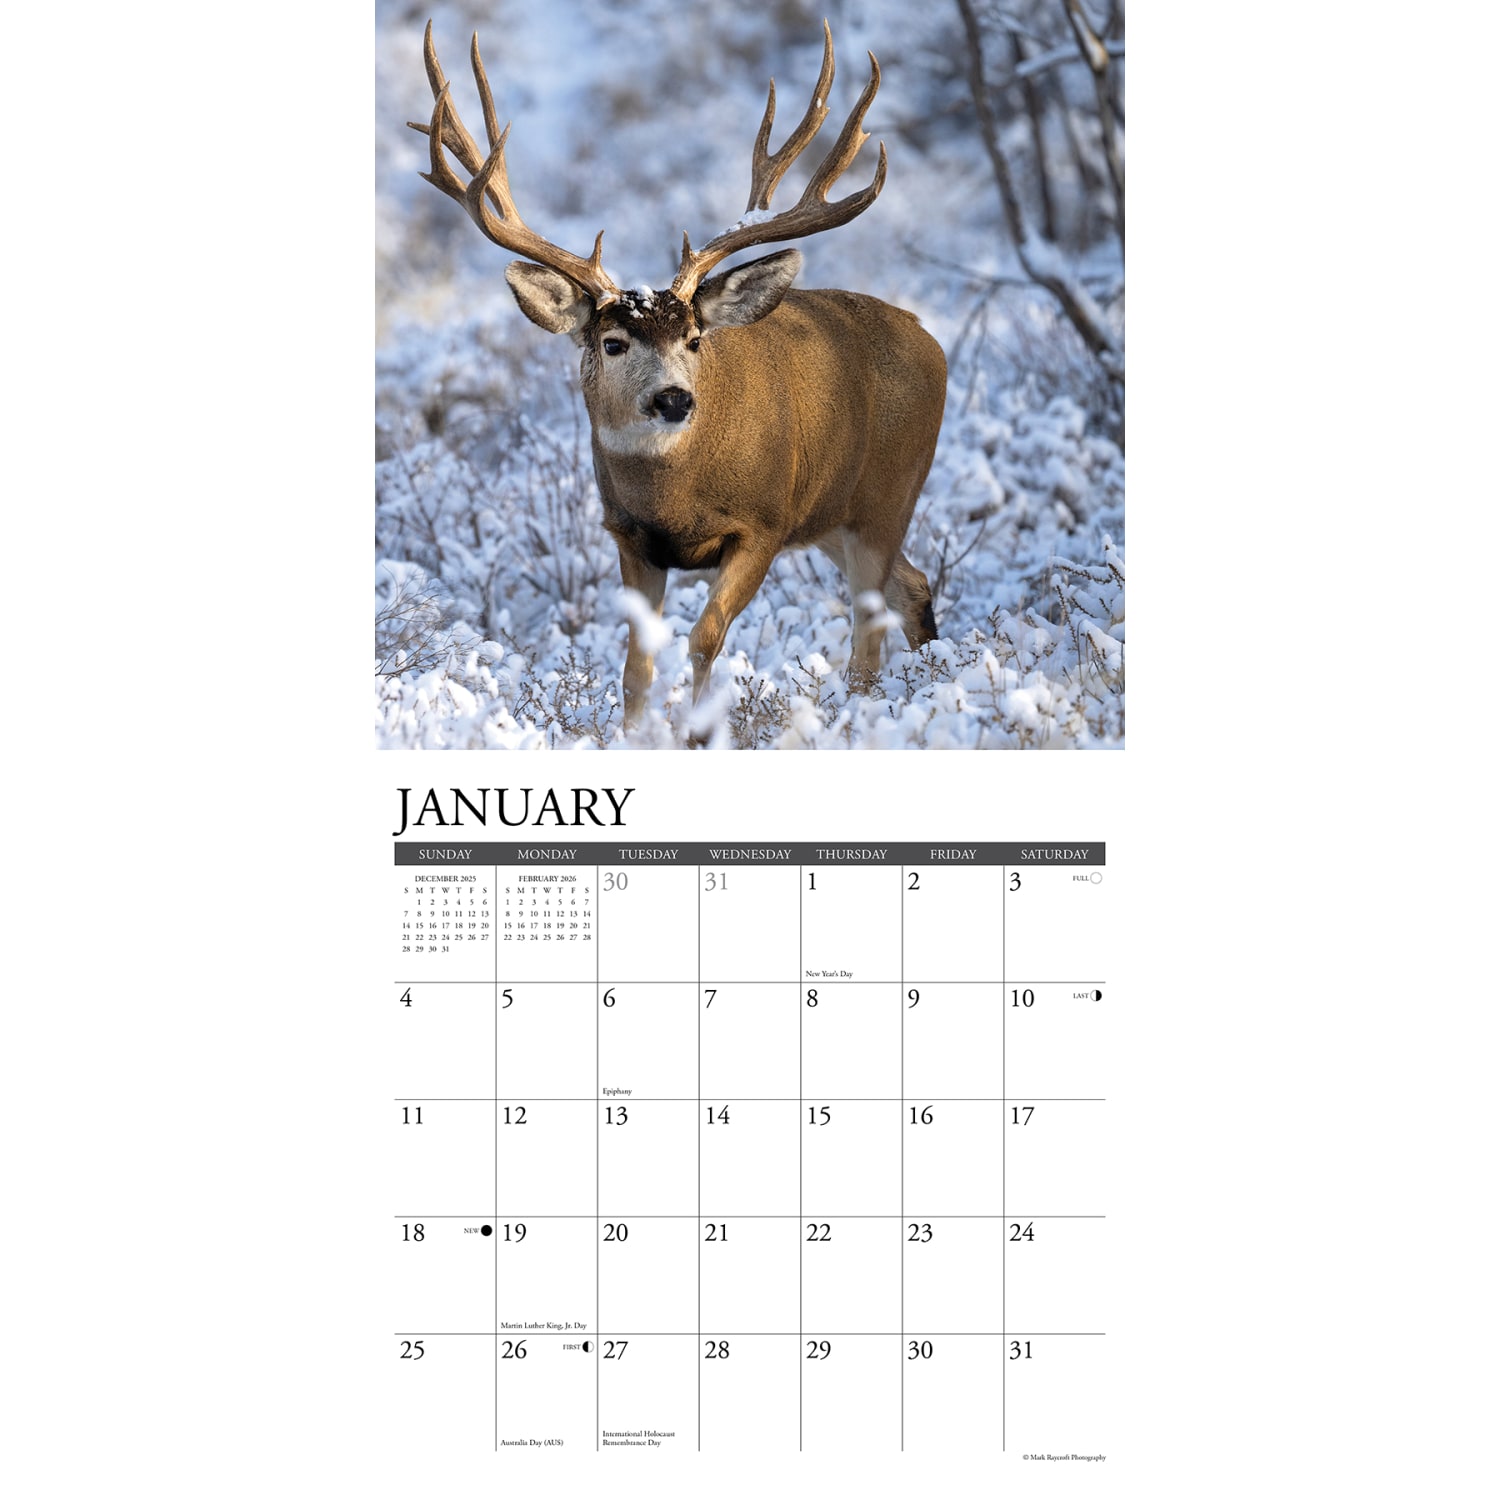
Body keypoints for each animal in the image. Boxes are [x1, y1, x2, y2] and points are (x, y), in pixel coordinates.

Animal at [409, 19, 947, 731]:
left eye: (694, 339)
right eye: (612, 342)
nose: (672, 399)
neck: (673, 498)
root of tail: (930, 339)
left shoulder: (763, 523)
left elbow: (704, 637)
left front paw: (697, 733)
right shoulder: (629, 538)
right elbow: (637, 663)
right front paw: (634, 736)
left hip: (888, 496)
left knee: (869, 628)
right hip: (837, 516)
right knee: (913, 588)